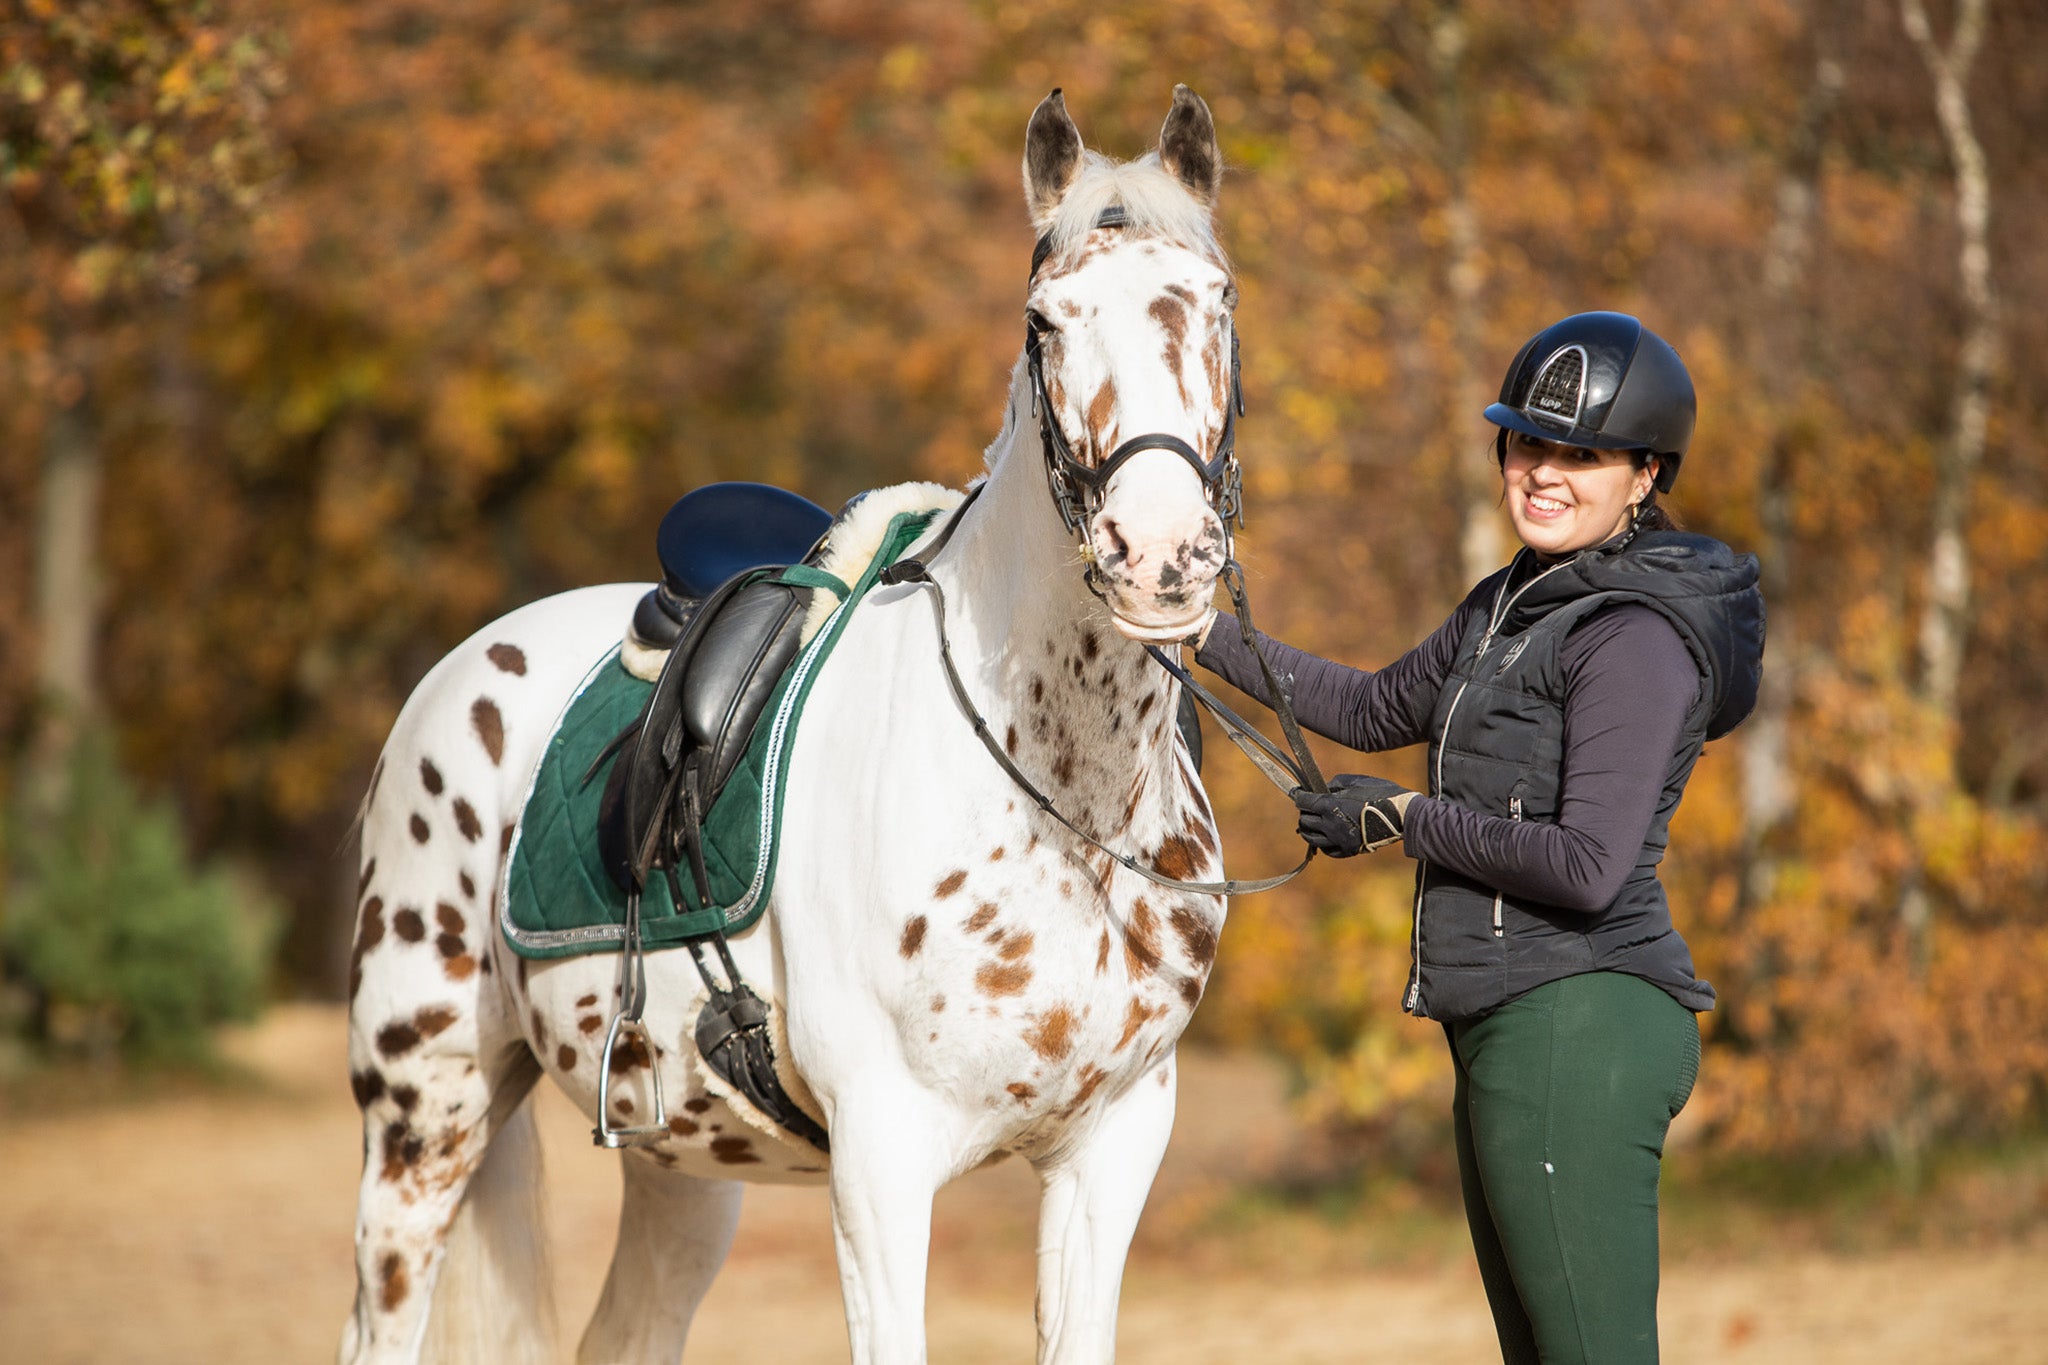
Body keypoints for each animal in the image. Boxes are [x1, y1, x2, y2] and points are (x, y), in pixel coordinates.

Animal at [344, 87, 1236, 1365]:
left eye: (1216, 301)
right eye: (1042, 321)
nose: (1157, 555)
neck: (1062, 807)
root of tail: (467, 664)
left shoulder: (1109, 1151)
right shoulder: (880, 1164)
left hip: (676, 1163)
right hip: (422, 1121)